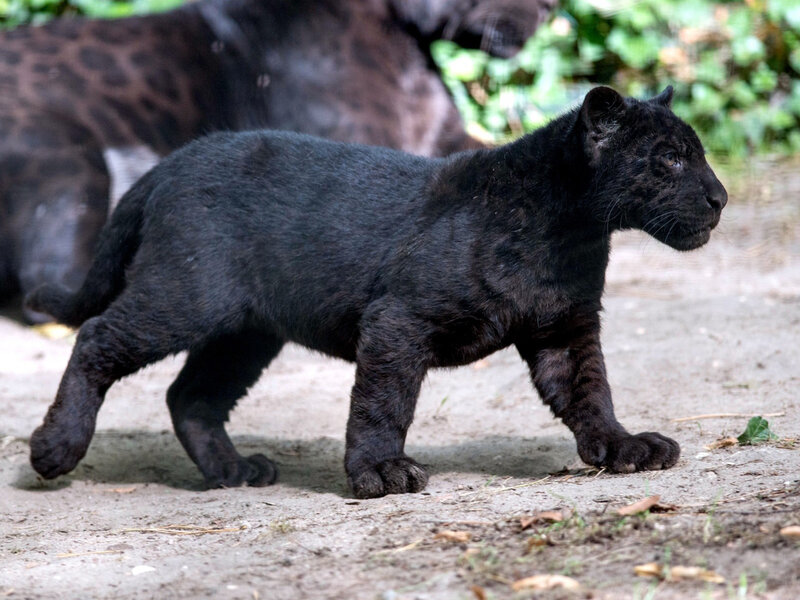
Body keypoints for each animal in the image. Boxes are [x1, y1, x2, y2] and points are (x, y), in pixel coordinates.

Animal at [26, 86, 727, 498]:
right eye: (670, 159)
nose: (721, 197)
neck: (573, 230)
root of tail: (172, 161)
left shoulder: (564, 329)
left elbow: (590, 390)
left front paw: (623, 447)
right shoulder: (398, 319)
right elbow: (383, 402)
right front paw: (381, 472)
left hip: (244, 334)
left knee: (190, 394)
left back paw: (233, 472)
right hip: (186, 297)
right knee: (98, 336)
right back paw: (55, 449)